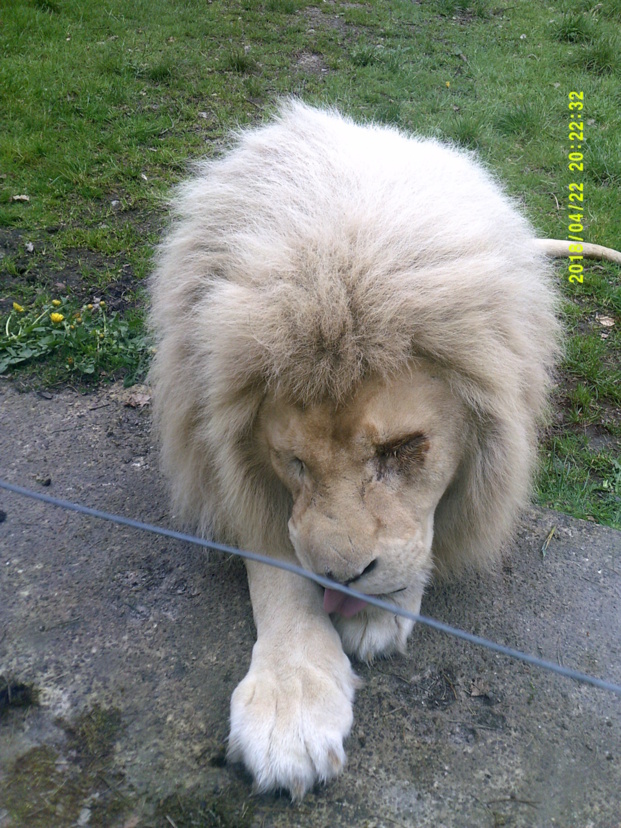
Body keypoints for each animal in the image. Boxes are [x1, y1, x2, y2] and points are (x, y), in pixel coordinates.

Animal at [150, 100, 564, 799]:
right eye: (293, 462)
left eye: (400, 450)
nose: (342, 580)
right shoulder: (225, 460)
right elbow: (277, 567)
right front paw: (290, 705)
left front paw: (377, 614)